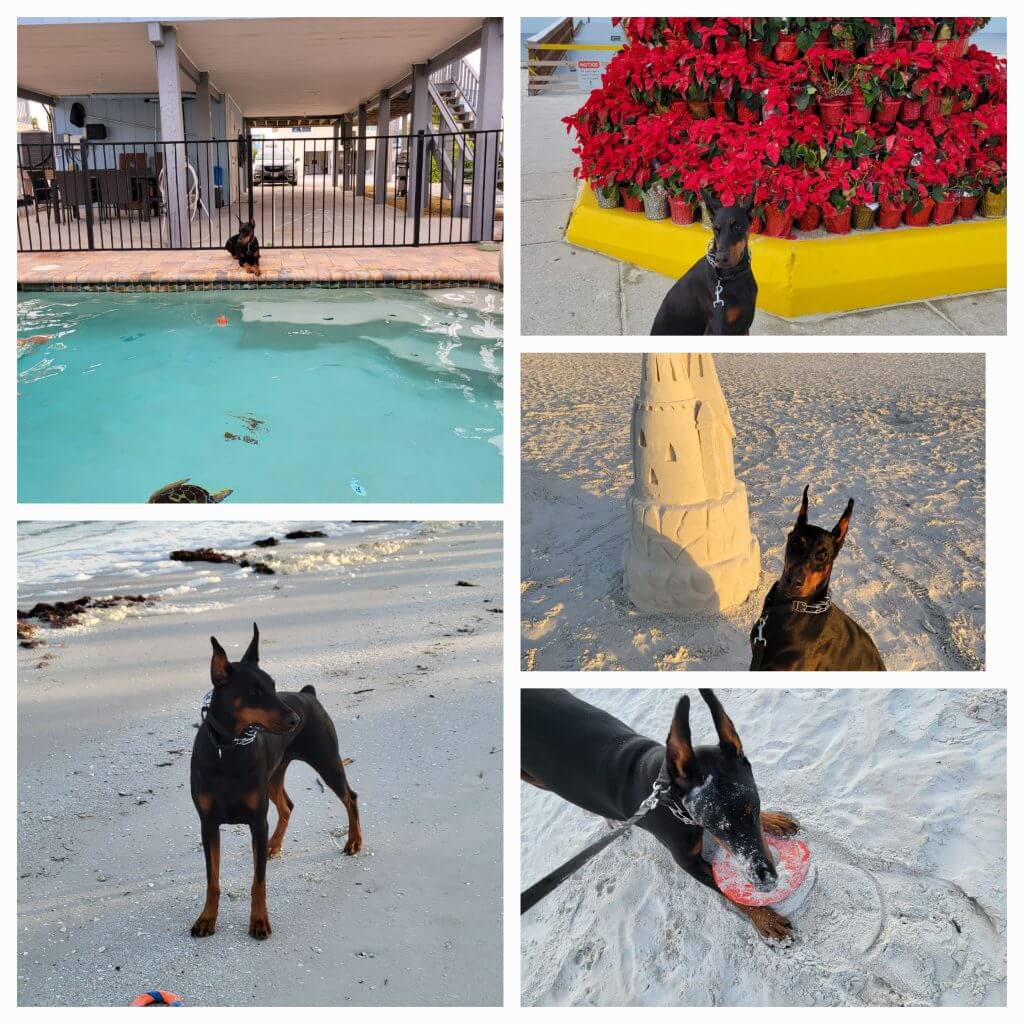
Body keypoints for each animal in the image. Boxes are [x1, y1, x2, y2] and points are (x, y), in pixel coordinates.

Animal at [190, 618, 362, 937]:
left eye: (273, 686)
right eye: (255, 691)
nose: (295, 719)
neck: (229, 749)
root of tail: (308, 694)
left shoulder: (257, 821)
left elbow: (258, 882)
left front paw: (259, 920)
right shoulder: (208, 824)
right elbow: (213, 881)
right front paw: (207, 918)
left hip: (327, 761)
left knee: (350, 797)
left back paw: (354, 841)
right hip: (274, 775)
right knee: (287, 806)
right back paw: (274, 845)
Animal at [520, 688, 798, 942]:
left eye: (753, 807)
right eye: (713, 824)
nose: (766, 880)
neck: (667, 796)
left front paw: (773, 820)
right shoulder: (689, 863)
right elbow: (727, 892)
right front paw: (766, 918)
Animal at [651, 189, 757, 335]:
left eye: (737, 227)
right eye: (716, 229)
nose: (720, 259)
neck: (734, 275)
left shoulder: (744, 328)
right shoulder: (717, 328)